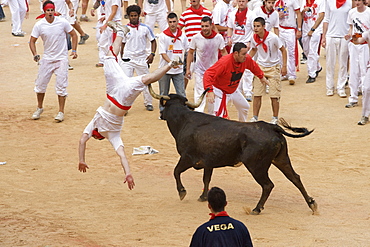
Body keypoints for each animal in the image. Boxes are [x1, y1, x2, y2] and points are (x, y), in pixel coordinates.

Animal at [149, 84, 316, 214]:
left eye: (165, 104)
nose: (161, 114)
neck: (184, 120)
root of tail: (271, 127)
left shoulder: (187, 158)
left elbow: (176, 171)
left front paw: (182, 192)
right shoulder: (208, 162)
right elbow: (206, 178)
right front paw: (203, 197)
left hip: (256, 166)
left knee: (268, 185)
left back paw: (257, 208)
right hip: (281, 159)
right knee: (295, 178)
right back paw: (312, 204)